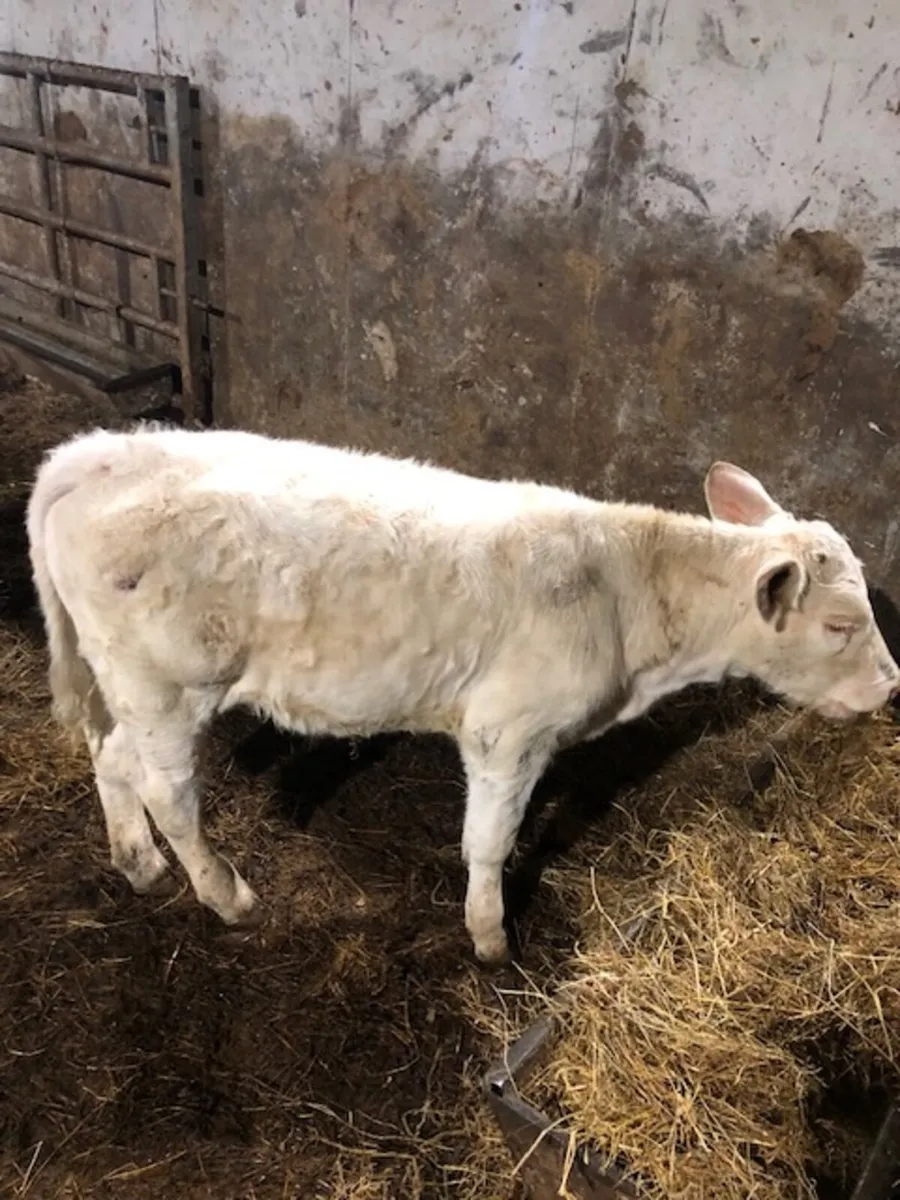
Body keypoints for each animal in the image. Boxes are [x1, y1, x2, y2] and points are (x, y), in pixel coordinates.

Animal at [26, 427, 899, 963]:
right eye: (839, 624)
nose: (891, 684)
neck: (624, 589)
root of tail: (95, 452)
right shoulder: (507, 730)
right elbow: (488, 842)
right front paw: (490, 938)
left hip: (121, 680)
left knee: (110, 755)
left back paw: (138, 863)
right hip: (166, 683)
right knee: (168, 793)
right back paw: (228, 895)